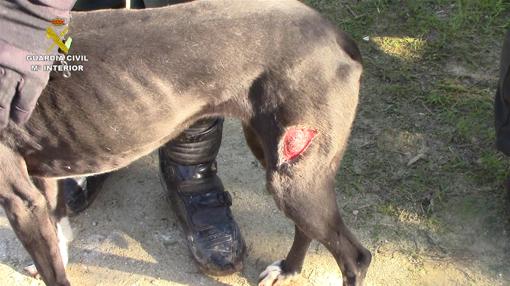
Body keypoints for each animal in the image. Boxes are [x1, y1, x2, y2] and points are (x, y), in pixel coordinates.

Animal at [0, 0, 374, 284]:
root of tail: (335, 33)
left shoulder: (21, 203)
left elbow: (54, 269)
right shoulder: (41, 178)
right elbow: (58, 225)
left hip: (294, 175)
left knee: (356, 257)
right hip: (277, 154)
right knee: (307, 229)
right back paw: (288, 269)